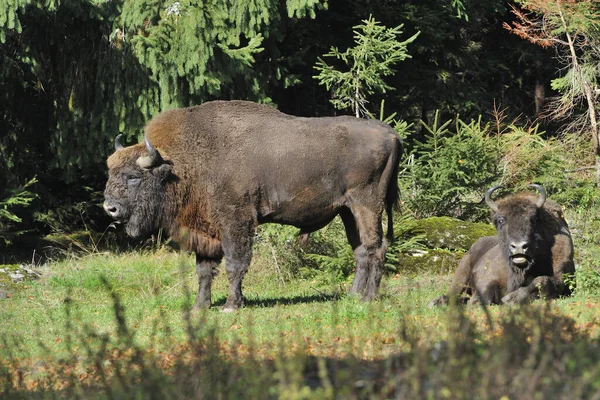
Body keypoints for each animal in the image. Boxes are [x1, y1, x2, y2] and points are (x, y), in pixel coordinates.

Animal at [105, 101, 400, 312]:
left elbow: (235, 264)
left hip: (367, 204)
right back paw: (352, 295)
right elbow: (204, 270)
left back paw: (368, 299)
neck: (181, 164)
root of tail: (391, 133)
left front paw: (231, 305)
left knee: (376, 247)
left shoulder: (236, 221)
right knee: (360, 250)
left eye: (133, 177)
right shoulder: (206, 230)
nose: (110, 208)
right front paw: (200, 306)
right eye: (110, 172)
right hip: (347, 210)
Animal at [428, 185, 576, 306]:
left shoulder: (561, 275)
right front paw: (476, 301)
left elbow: (542, 280)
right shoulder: (489, 276)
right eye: (500, 220)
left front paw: (511, 299)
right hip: (462, 271)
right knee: (453, 293)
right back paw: (438, 302)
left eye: (533, 219)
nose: (518, 246)